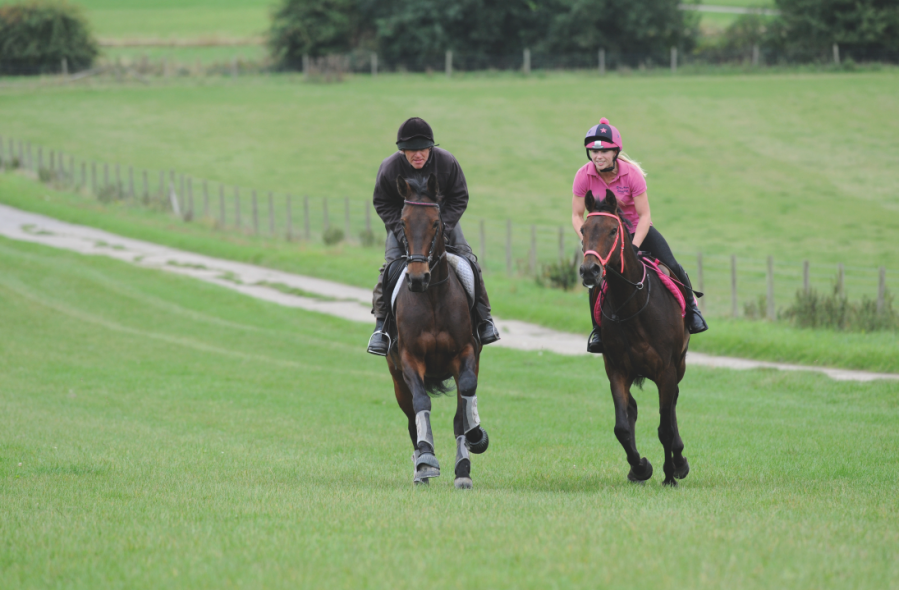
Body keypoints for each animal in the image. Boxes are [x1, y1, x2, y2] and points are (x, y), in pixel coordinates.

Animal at [384, 175, 488, 490]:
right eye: (403, 222)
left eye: (435, 223)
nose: (418, 278)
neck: (431, 298)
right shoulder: (409, 358)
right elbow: (421, 402)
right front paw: (427, 460)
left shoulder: (465, 355)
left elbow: (464, 404)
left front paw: (473, 446)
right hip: (397, 379)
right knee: (410, 418)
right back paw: (421, 466)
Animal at [580, 192, 692, 488]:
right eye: (583, 230)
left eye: (612, 230)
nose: (589, 271)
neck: (633, 304)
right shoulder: (617, 370)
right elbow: (621, 426)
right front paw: (641, 467)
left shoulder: (666, 371)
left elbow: (665, 428)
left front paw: (670, 475)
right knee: (632, 410)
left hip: (679, 364)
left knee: (672, 404)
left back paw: (679, 462)